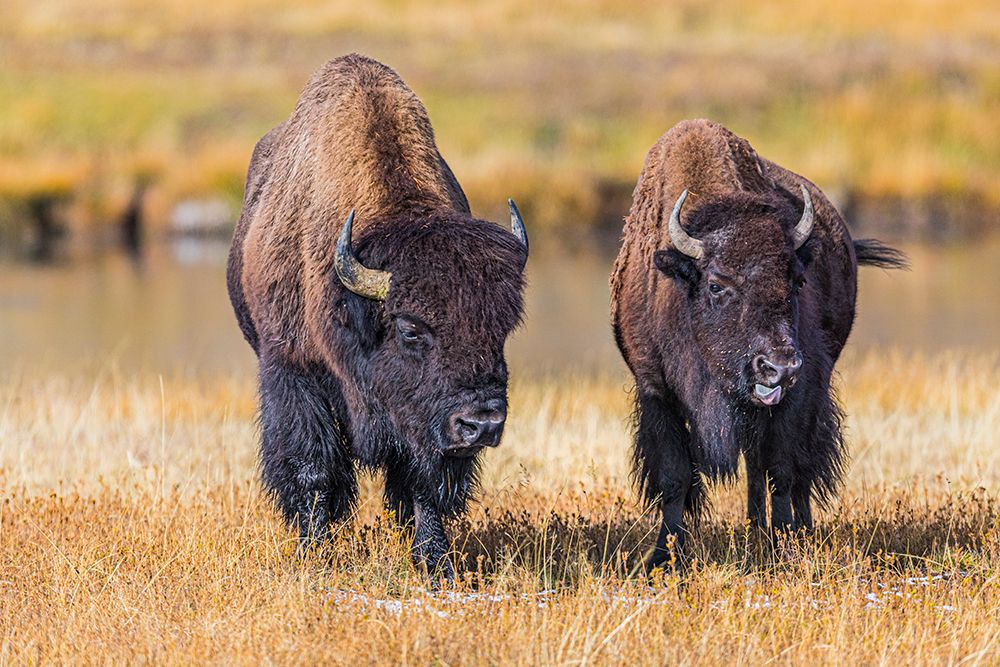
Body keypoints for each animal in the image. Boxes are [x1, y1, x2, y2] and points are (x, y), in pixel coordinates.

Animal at [227, 54, 528, 579]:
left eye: (502, 328)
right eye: (411, 330)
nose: (482, 424)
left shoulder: (422, 426)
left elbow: (423, 481)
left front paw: (435, 562)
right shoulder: (293, 371)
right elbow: (313, 470)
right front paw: (316, 557)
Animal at [610, 119, 906, 570]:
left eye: (797, 280)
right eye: (716, 285)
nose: (779, 365)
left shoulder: (799, 393)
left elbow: (782, 469)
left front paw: (785, 545)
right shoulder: (656, 391)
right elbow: (674, 477)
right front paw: (663, 557)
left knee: (791, 468)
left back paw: (792, 531)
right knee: (754, 465)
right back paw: (754, 529)